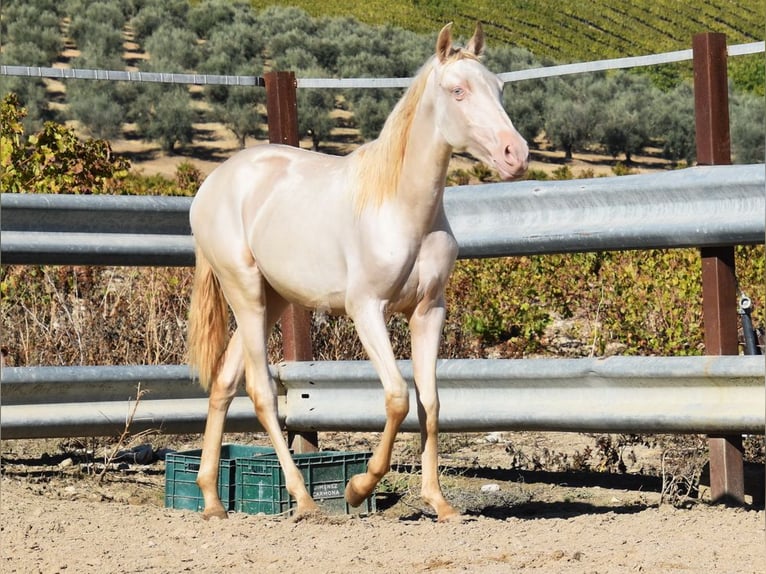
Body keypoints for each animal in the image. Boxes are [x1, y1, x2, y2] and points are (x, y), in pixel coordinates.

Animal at [187, 22, 528, 522]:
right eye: (457, 90)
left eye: (500, 88)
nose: (515, 154)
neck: (400, 207)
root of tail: (212, 185)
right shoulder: (366, 309)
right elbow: (397, 397)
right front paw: (357, 487)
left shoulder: (428, 312)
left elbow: (430, 403)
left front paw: (440, 503)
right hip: (245, 292)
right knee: (261, 390)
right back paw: (304, 500)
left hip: (273, 299)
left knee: (224, 385)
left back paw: (212, 500)